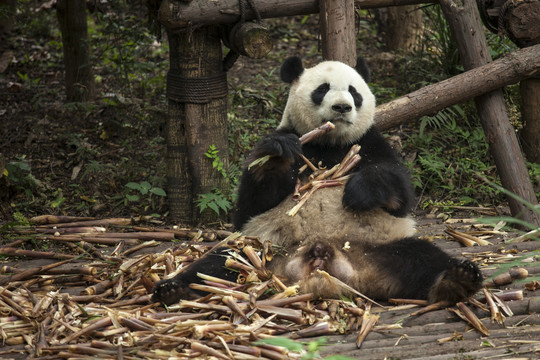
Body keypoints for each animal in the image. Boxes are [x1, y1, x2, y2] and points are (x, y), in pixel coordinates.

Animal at [153, 57, 486, 306]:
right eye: (322, 89)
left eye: (354, 92)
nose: (342, 107)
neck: (330, 144)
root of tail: (325, 268)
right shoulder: (296, 141)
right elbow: (250, 205)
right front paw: (277, 154)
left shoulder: (372, 143)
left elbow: (400, 194)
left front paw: (358, 192)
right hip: (263, 251)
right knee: (218, 265)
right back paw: (172, 289)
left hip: (386, 248)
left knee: (425, 257)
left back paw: (457, 281)